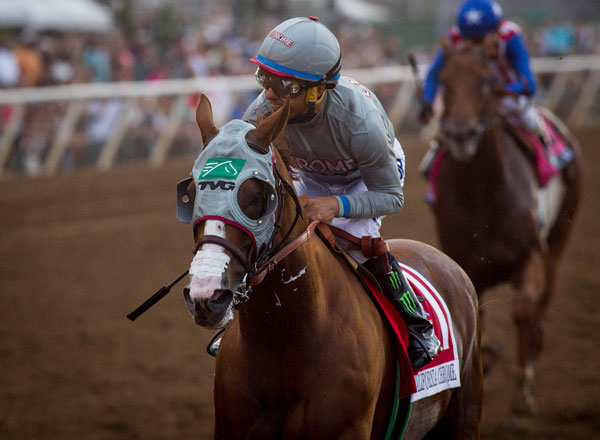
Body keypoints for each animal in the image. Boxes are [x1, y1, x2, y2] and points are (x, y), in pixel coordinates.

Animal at [432, 42, 580, 420]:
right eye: (444, 82)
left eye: (485, 82)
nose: (460, 134)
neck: (482, 195)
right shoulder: (467, 265)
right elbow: (475, 317)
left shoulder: (531, 255)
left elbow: (524, 308)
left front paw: (522, 396)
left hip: (562, 229)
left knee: (544, 298)